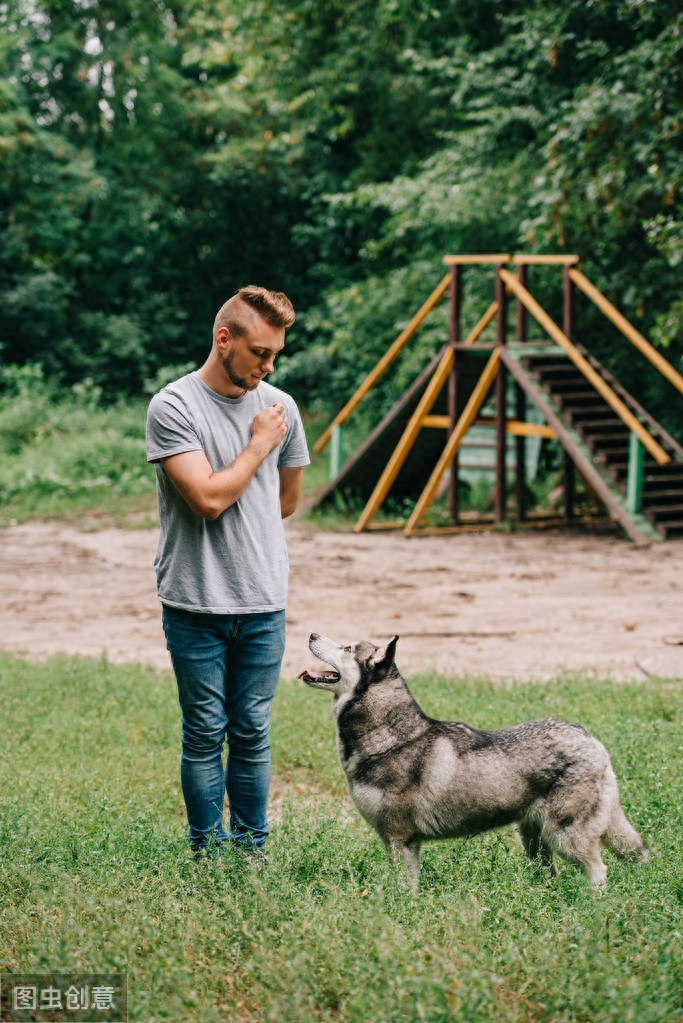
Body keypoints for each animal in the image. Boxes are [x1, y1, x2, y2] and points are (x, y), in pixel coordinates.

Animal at [298, 630, 646, 887]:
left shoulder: (401, 840)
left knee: (598, 871)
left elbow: (405, 888)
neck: (390, 737)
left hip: (565, 836)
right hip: (533, 840)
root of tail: (591, 739)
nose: (312, 634)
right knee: (551, 874)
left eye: (347, 648)